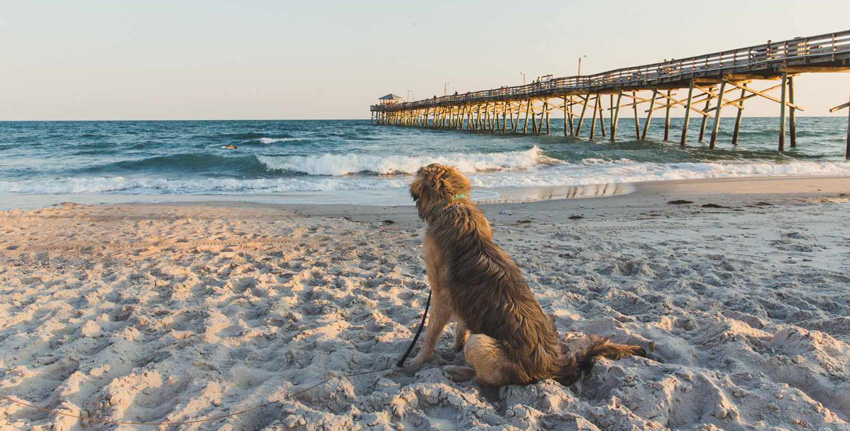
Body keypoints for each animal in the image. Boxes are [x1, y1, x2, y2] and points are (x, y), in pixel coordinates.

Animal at [410, 164, 644, 386]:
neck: (451, 205)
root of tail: (552, 364)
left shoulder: (441, 295)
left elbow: (430, 334)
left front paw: (417, 361)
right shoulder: (458, 297)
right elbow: (462, 323)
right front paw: (455, 344)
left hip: (479, 343)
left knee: (486, 378)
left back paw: (457, 371)